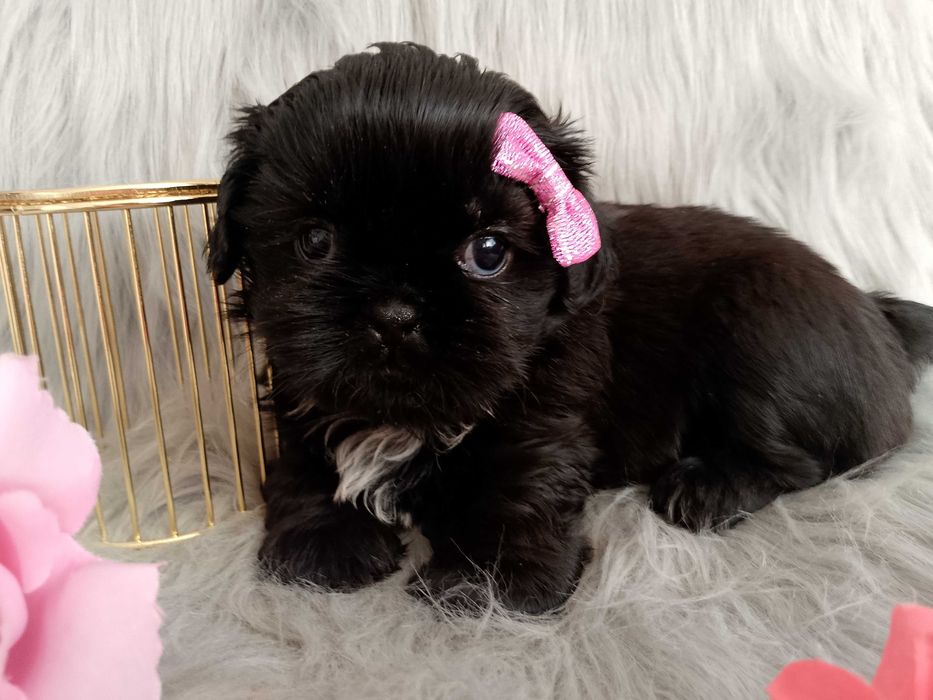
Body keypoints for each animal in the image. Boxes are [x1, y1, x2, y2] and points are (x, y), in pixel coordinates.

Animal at [208, 43, 933, 614]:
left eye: (488, 252)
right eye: (314, 241)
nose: (395, 313)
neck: (405, 418)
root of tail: (873, 309)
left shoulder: (542, 411)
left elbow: (519, 478)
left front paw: (492, 584)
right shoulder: (302, 385)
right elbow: (303, 460)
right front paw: (321, 541)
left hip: (762, 327)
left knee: (805, 461)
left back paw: (707, 488)